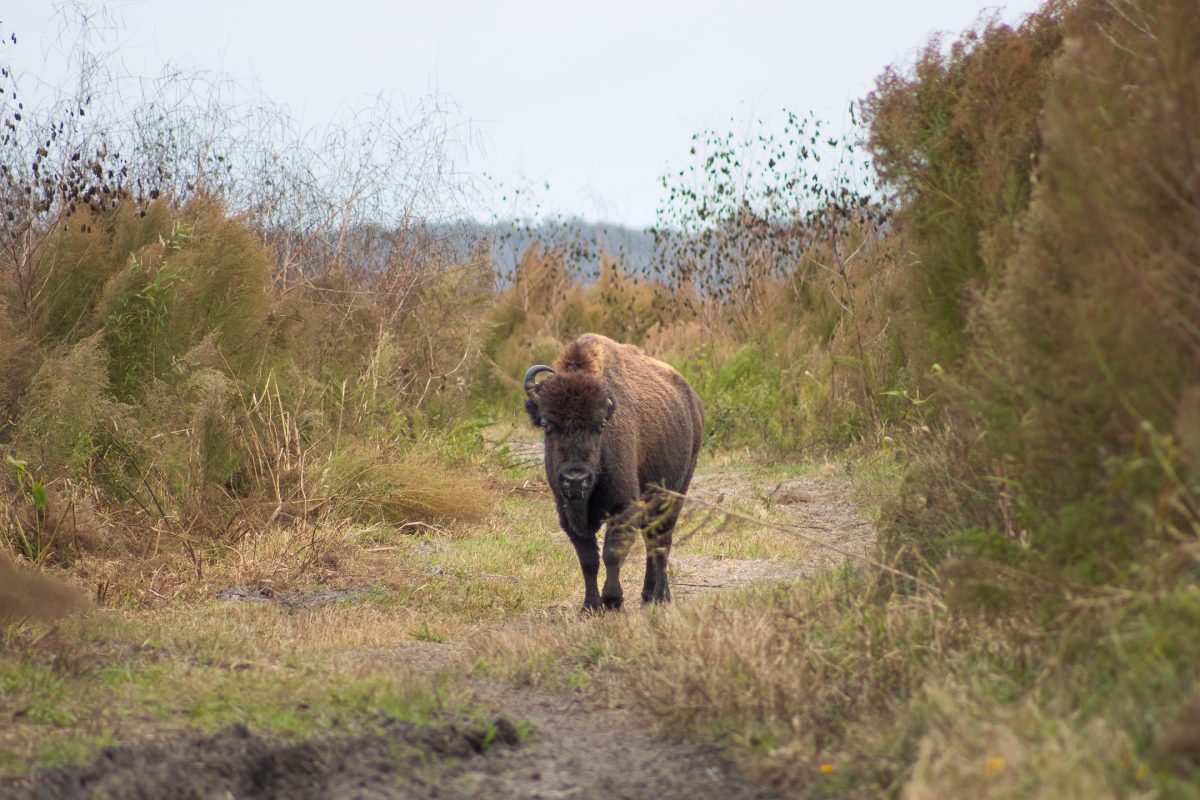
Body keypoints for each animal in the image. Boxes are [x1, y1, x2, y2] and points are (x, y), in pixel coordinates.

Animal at [523, 335, 700, 609]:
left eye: (600, 425)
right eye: (546, 423)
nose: (576, 479)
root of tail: (692, 400)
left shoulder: (623, 507)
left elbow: (612, 554)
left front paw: (612, 600)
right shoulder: (569, 516)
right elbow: (588, 560)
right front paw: (590, 606)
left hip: (676, 492)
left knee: (661, 542)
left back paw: (660, 597)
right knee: (652, 540)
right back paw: (648, 596)